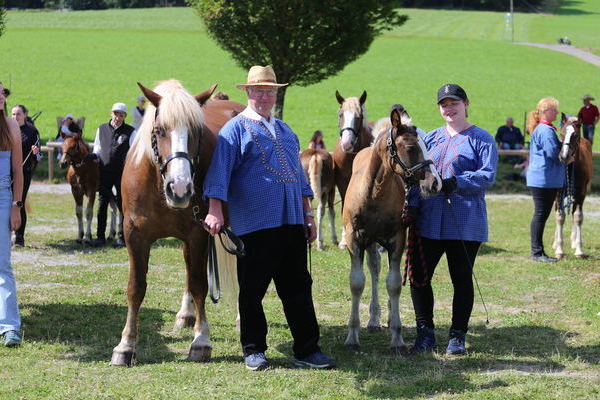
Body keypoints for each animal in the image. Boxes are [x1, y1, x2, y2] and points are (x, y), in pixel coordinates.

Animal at [111, 79, 245, 368]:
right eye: (159, 130)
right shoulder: (134, 235)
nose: (180, 188)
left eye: (196, 132)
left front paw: (201, 341)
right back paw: (186, 314)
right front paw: (125, 345)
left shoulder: (198, 233)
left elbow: (199, 284)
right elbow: (136, 288)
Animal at [342, 108, 440, 354]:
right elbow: (357, 282)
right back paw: (373, 320)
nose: (435, 183)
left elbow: (394, 284)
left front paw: (397, 337)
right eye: (411, 147)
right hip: (370, 242)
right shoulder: (354, 240)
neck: (374, 192)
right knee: (375, 268)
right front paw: (352, 335)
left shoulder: (397, 240)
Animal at [552, 115, 596, 260]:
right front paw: (559, 249)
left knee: (573, 214)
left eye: (575, 135)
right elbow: (560, 216)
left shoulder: (581, 194)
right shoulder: (559, 193)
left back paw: (573, 241)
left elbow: (578, 217)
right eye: (561, 134)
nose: (564, 156)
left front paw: (579, 250)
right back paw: (555, 243)